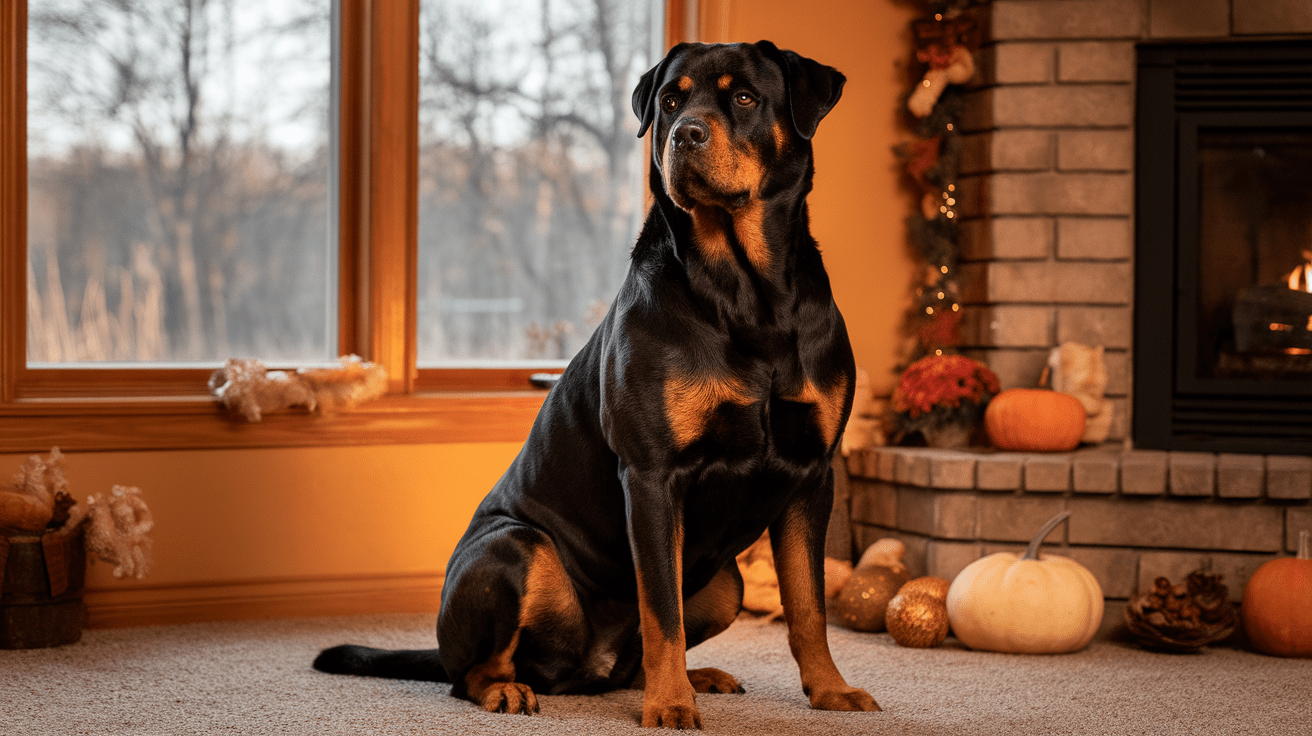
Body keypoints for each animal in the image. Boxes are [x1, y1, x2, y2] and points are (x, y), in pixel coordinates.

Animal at [312, 41, 876, 729]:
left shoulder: (811, 474)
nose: (685, 135)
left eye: (743, 97)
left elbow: (808, 605)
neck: (749, 292)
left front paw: (830, 689)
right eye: (670, 101)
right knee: (471, 671)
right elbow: (661, 607)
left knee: (636, 659)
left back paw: (698, 676)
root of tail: (585, 668)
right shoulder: (653, 475)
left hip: (727, 584)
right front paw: (671, 706)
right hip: (515, 548)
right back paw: (509, 689)